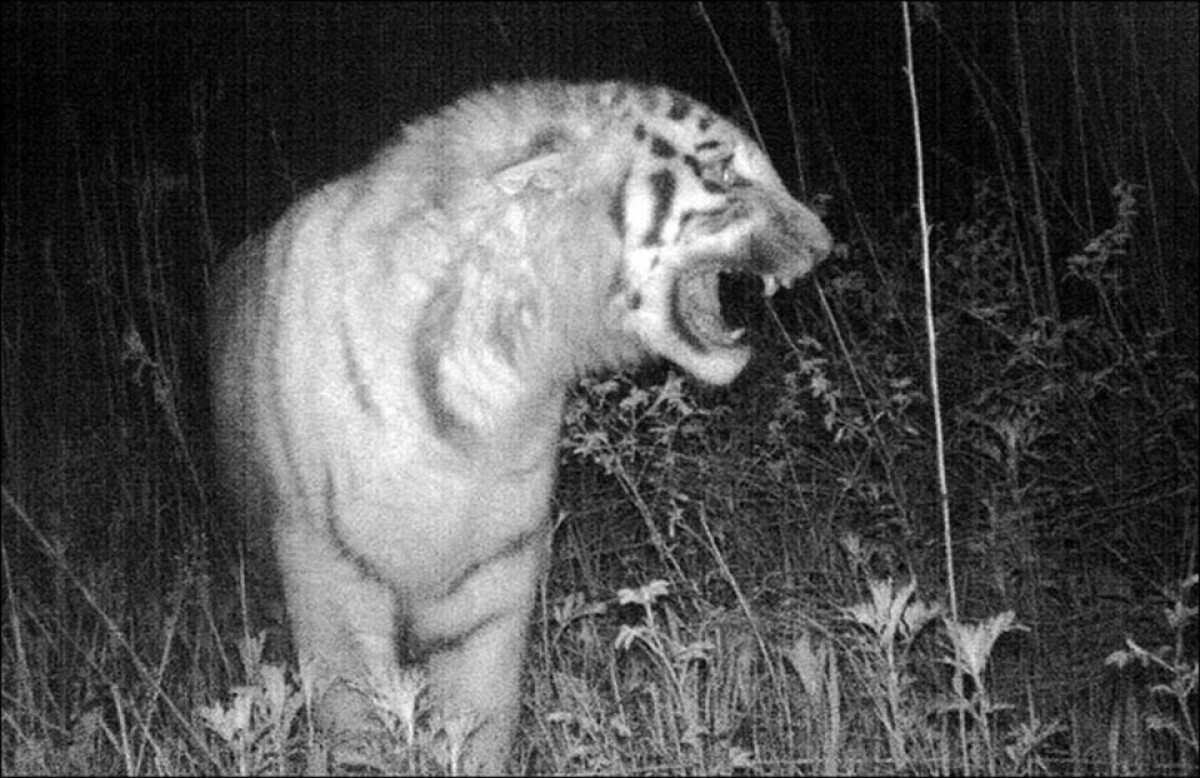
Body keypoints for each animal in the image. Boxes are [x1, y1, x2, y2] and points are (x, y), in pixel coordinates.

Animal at [208, 80, 831, 773]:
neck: (501, 369)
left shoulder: (493, 570)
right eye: (723, 172)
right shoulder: (330, 569)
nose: (825, 245)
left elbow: (477, 715)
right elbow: (357, 721)